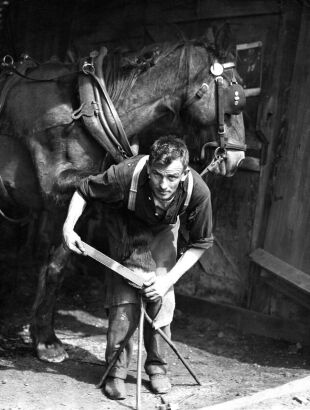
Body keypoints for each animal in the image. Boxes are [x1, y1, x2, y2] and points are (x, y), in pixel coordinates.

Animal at [0, 38, 247, 364]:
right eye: (235, 96)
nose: (238, 157)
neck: (85, 107)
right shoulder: (55, 186)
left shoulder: (60, 208)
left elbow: (55, 266)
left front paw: (45, 339)